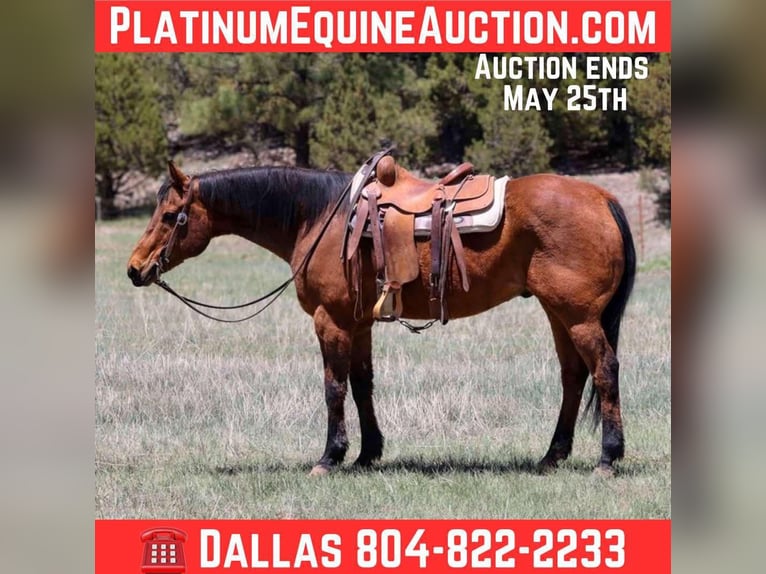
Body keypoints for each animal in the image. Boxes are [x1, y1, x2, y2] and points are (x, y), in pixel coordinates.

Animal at [127, 158, 635, 476]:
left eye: (171, 216)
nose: (134, 268)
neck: (320, 219)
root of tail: (602, 197)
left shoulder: (330, 320)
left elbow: (333, 387)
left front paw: (330, 457)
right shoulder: (358, 323)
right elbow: (362, 385)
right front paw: (368, 453)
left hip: (579, 316)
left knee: (604, 370)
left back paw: (608, 458)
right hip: (558, 313)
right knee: (573, 376)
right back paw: (552, 456)